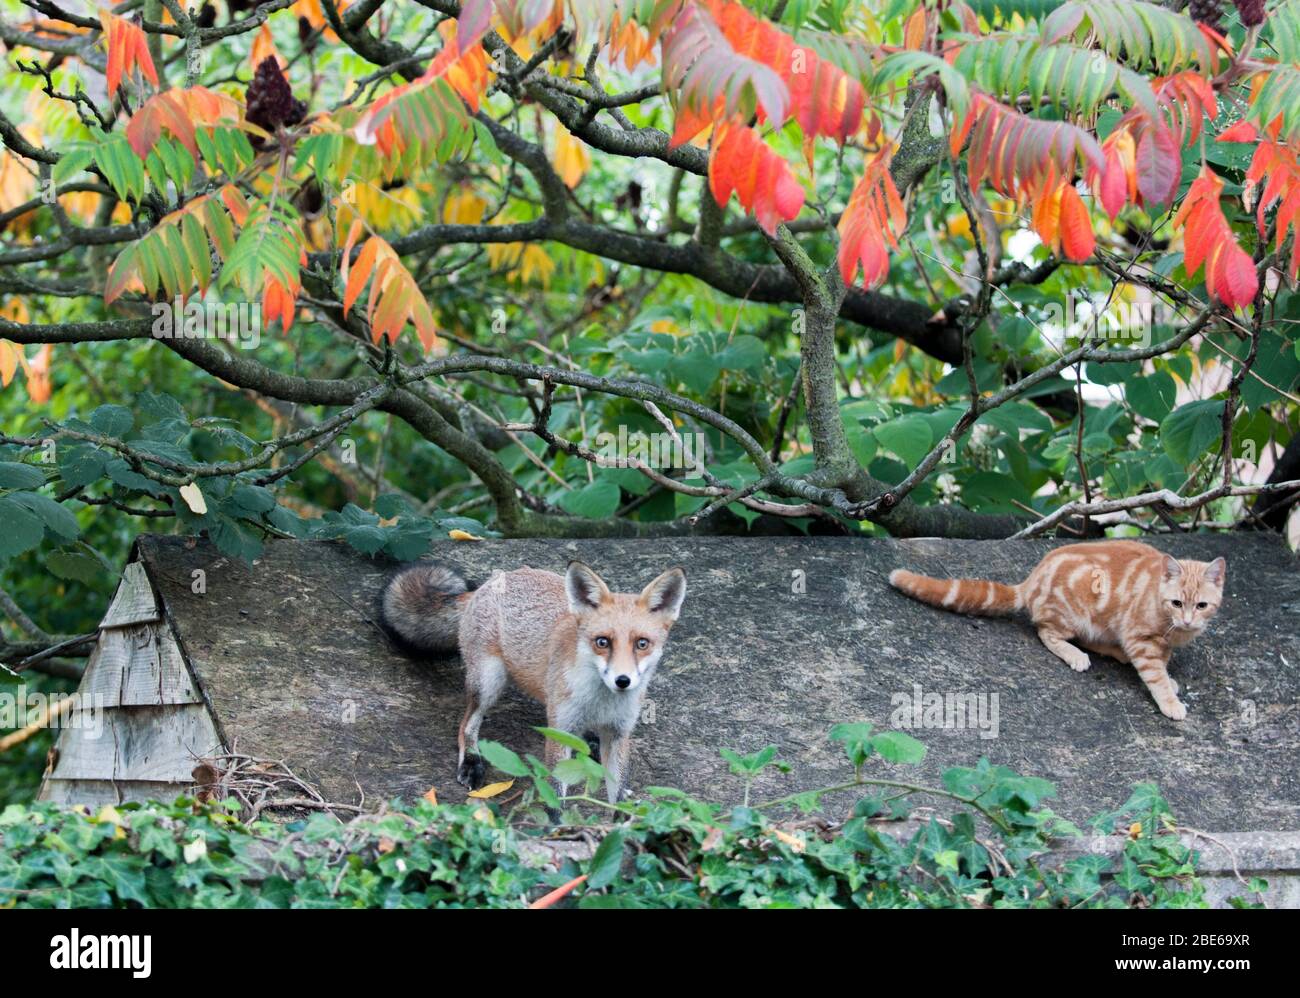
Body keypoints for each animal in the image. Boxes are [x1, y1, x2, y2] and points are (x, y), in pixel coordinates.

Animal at [380, 559, 687, 804]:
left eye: (642, 644)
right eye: (602, 642)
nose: (623, 681)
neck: (600, 701)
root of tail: (493, 581)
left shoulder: (619, 732)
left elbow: (618, 795)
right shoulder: (559, 730)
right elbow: (556, 796)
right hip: (489, 682)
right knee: (466, 726)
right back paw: (471, 760)